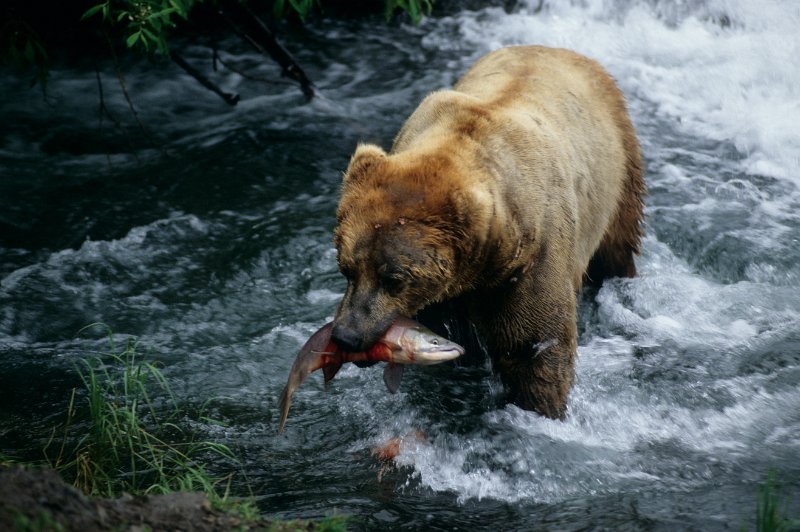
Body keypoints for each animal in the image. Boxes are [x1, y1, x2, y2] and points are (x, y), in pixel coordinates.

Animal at [332, 45, 644, 420]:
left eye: (393, 278)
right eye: (347, 268)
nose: (346, 335)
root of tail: (563, 51)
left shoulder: (532, 260)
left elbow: (534, 347)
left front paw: (540, 407)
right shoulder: (448, 295)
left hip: (617, 171)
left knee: (616, 251)